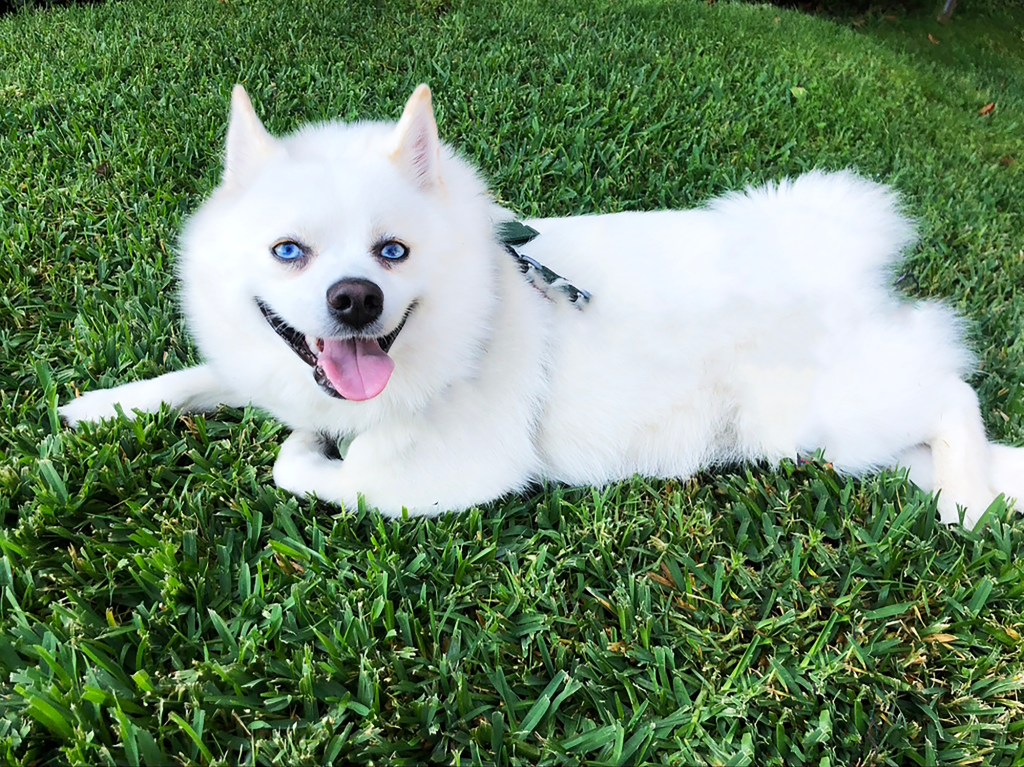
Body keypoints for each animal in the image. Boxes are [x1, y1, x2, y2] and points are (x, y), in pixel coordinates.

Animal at [59, 85, 1019, 528]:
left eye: (391, 252)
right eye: (288, 252)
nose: (356, 300)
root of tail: (827, 247)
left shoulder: (449, 476)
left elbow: (313, 471)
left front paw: (303, 446)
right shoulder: (265, 362)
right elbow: (190, 378)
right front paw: (101, 405)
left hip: (839, 411)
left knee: (955, 392)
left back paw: (967, 502)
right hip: (841, 439)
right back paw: (976, 489)